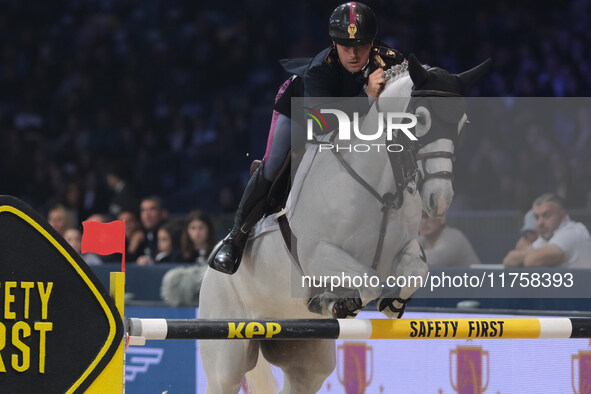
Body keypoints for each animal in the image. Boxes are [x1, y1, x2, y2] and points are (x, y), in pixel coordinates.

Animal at [199, 53, 490, 394]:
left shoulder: (404, 248)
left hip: (306, 358)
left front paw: (391, 304)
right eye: (420, 119)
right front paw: (334, 303)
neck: (382, 188)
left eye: (463, 123)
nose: (439, 199)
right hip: (226, 355)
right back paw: (228, 254)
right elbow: (369, 281)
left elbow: (416, 271)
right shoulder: (318, 255)